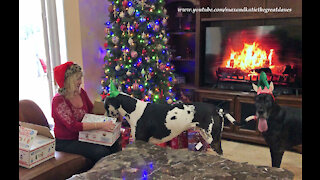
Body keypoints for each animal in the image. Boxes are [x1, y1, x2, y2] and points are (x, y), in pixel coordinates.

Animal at [104, 92, 235, 154]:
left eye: (106, 106)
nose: (106, 117)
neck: (135, 110)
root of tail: (218, 109)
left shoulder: (141, 140)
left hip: (213, 139)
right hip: (206, 136)